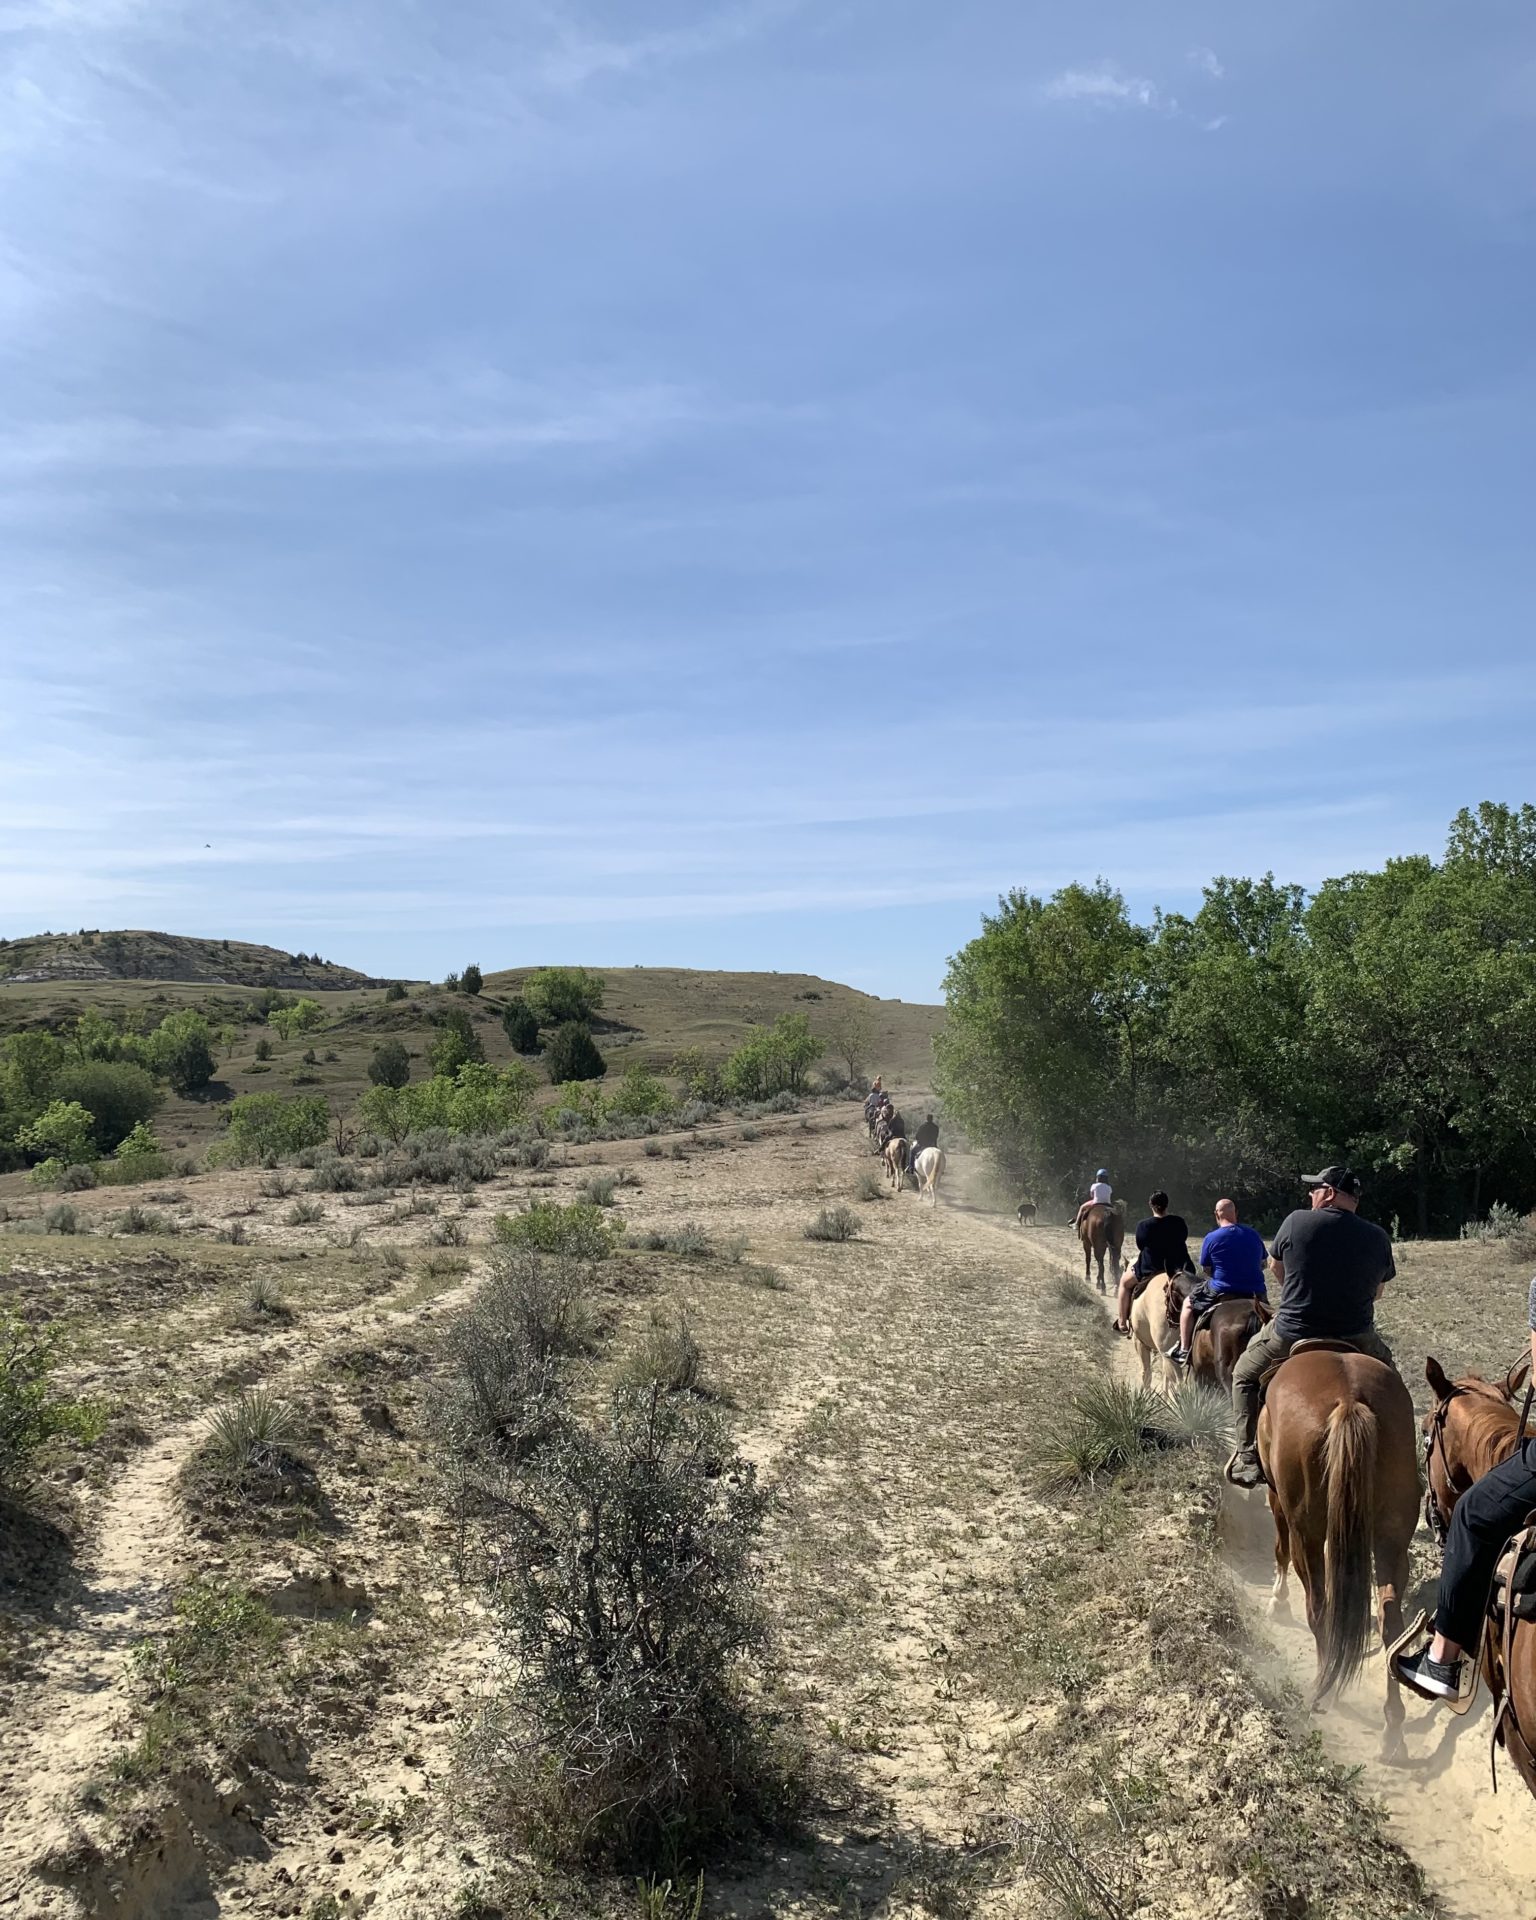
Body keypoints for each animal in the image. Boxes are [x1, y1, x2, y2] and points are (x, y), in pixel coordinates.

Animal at [1259, 1351, 1413, 1743]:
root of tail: (1348, 1400)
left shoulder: (1277, 1498)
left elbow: (1280, 1550)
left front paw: (1278, 1601)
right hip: (1391, 1536)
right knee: (1391, 1621)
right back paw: (1393, 1727)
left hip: (1307, 1531)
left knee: (1319, 1605)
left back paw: (1322, 1689)